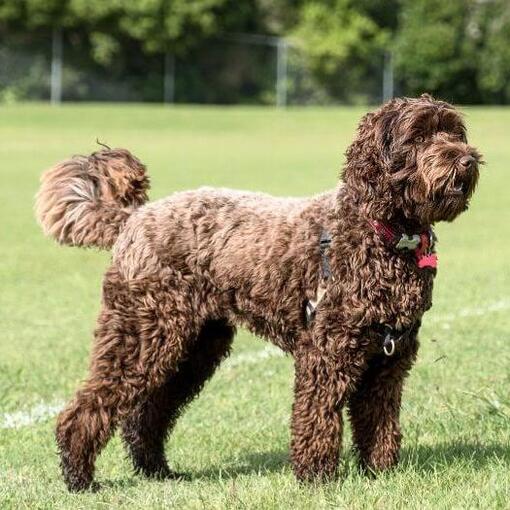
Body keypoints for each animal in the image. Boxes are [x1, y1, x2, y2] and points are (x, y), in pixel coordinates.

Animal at [35, 94, 482, 490]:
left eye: (454, 132)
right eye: (419, 136)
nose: (467, 159)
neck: (382, 234)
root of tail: (134, 217)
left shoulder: (389, 359)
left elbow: (379, 420)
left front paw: (380, 473)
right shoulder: (327, 352)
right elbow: (318, 416)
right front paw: (317, 478)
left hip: (194, 346)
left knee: (147, 414)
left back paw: (157, 471)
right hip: (140, 335)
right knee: (89, 407)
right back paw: (79, 478)